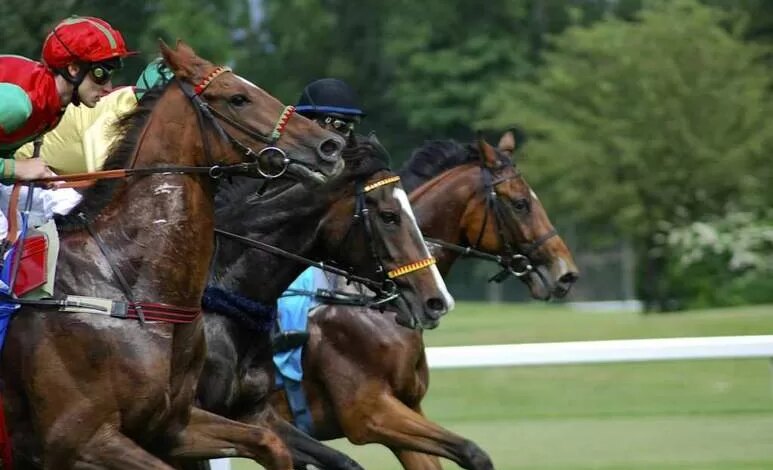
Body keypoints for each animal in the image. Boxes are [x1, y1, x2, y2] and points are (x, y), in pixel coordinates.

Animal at [0, 42, 344, 468]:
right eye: (238, 98)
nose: (329, 146)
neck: (124, 289)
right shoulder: (81, 442)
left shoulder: (173, 425)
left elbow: (271, 442)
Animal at [268, 133, 576, 470]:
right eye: (520, 204)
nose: (566, 273)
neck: (371, 304)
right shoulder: (369, 413)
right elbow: (473, 452)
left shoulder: (407, 407)